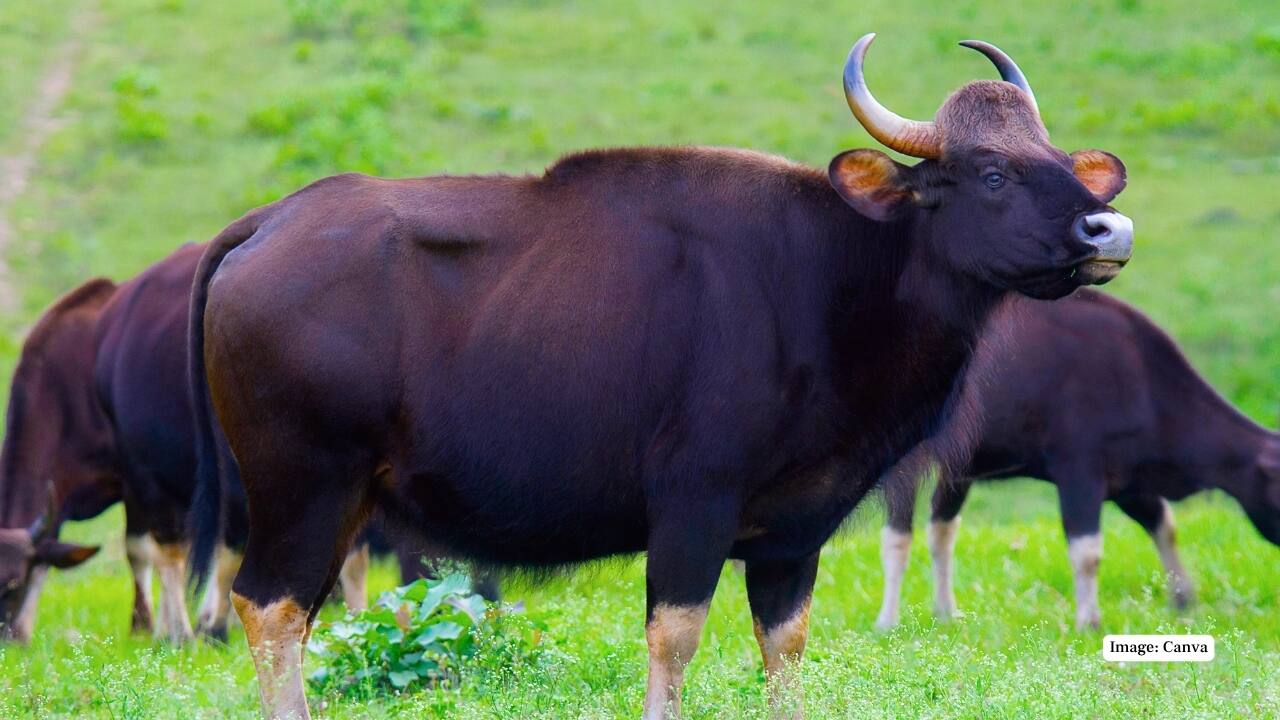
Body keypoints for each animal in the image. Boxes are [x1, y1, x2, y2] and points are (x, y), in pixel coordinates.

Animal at [189, 35, 1132, 718]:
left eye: (1057, 157)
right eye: (992, 172)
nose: (1108, 229)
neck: (834, 280)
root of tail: (268, 222)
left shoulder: (792, 534)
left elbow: (784, 648)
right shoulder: (692, 505)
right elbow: (675, 640)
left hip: (341, 500)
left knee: (295, 612)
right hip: (302, 485)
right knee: (268, 607)